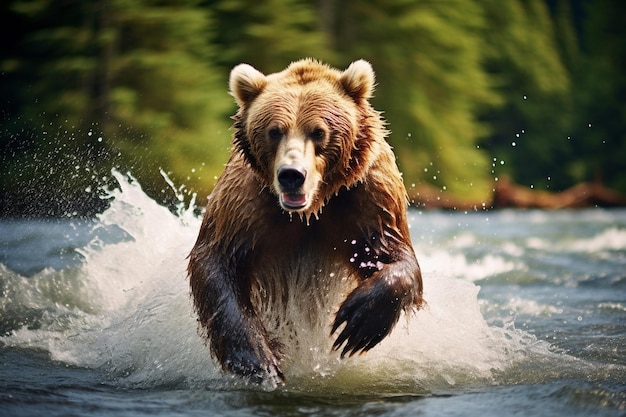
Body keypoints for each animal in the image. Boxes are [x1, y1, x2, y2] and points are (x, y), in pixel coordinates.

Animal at [188, 57, 424, 386]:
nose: (291, 175)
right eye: (274, 131)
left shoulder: (369, 196)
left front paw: (357, 323)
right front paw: (258, 359)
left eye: (319, 131)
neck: (312, 208)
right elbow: (217, 259)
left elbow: (393, 254)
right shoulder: (247, 202)